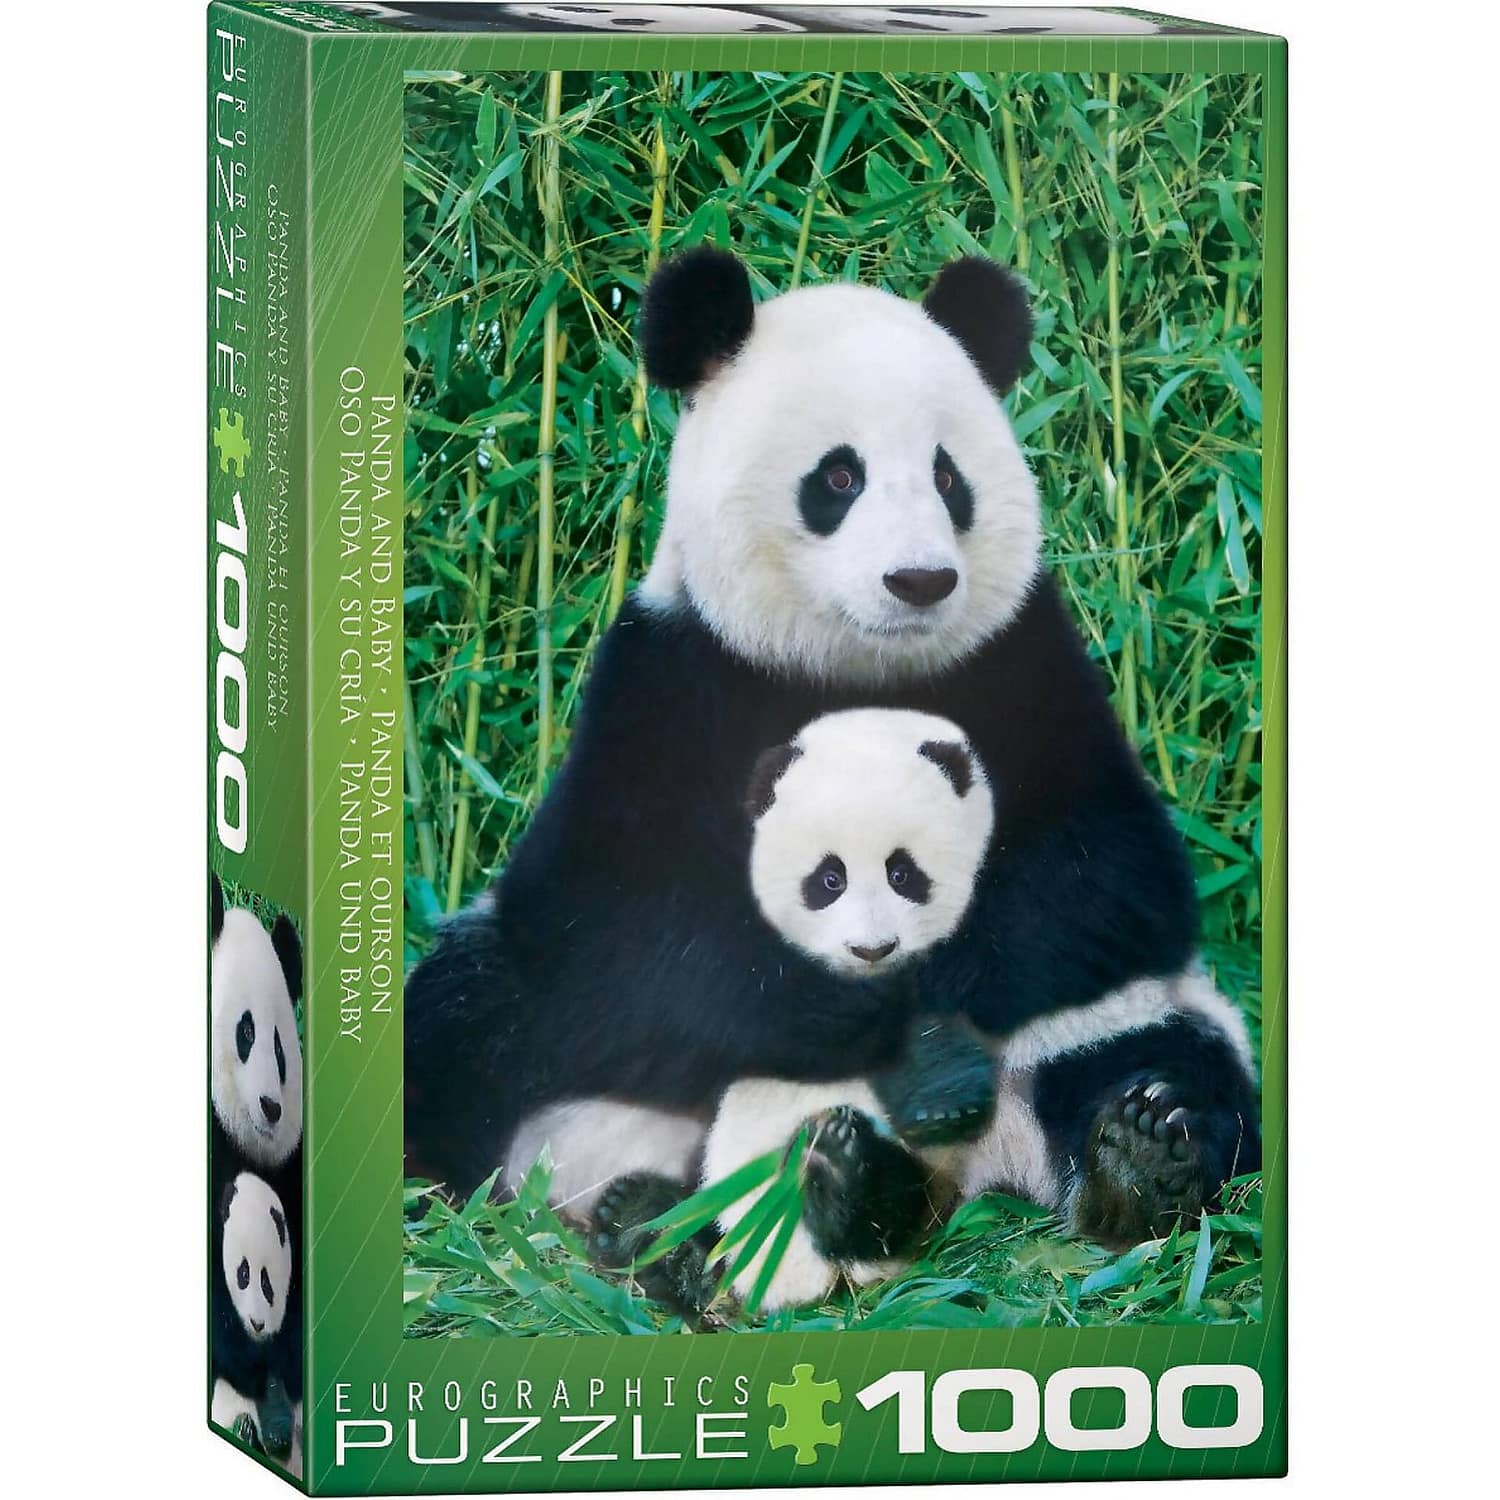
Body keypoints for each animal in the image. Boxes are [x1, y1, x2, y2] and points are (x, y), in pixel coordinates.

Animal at [403, 248, 1259, 1271]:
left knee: (1171, 1058)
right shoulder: (668, 681)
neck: (853, 665)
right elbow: (614, 923)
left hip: (1121, 1020)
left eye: (947, 477)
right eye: (840, 477)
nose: (920, 580)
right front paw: (866, 1010)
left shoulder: (1026, 665)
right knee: (464, 1025)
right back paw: (671, 1216)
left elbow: (1112, 875)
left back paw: (1132, 1159)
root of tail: (973, 1175)